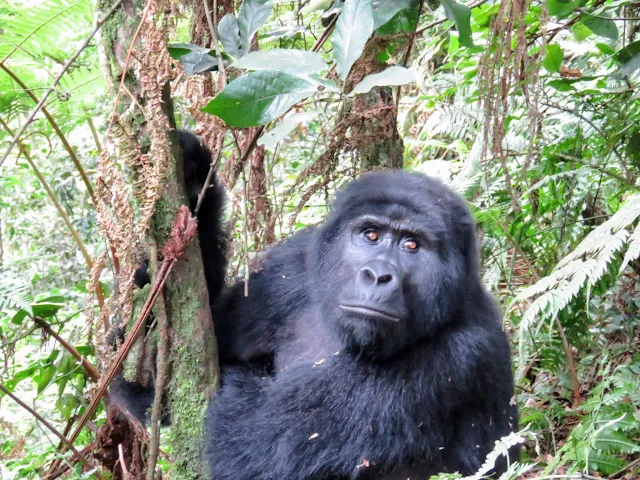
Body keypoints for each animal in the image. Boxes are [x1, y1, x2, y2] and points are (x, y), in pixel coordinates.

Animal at [114, 132, 520, 480]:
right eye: (370, 235)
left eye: (411, 246)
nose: (378, 275)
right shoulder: (292, 268)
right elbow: (187, 357)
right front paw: (193, 179)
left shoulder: (463, 354)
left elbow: (248, 444)